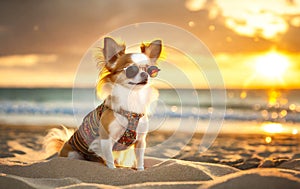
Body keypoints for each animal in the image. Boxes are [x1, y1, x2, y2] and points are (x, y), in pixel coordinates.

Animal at [44, 37, 162, 170]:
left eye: (150, 69)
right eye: (131, 70)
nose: (145, 74)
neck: (132, 98)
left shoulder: (141, 141)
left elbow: (140, 159)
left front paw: (140, 170)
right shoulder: (106, 139)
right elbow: (109, 158)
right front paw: (113, 169)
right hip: (72, 154)